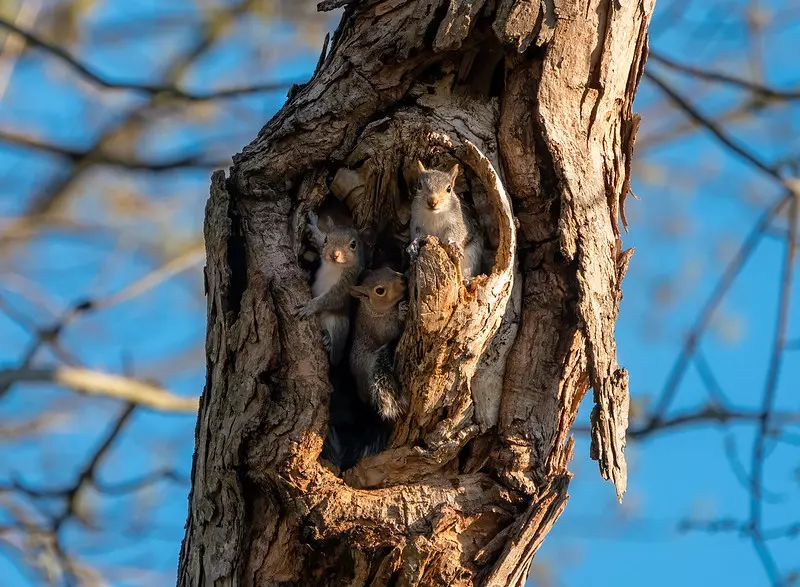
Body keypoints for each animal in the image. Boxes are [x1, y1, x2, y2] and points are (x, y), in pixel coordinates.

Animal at [296, 211, 366, 368]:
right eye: (327, 239)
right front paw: (314, 225)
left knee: (335, 354)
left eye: (353, 244)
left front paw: (310, 306)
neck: (334, 266)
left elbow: (332, 299)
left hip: (338, 323)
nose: (335, 254)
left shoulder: (347, 284)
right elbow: (317, 241)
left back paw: (329, 340)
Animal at [350, 266, 410, 422]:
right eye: (380, 291)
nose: (403, 279)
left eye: (387, 268)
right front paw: (402, 311)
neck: (372, 310)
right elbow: (393, 330)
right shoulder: (380, 328)